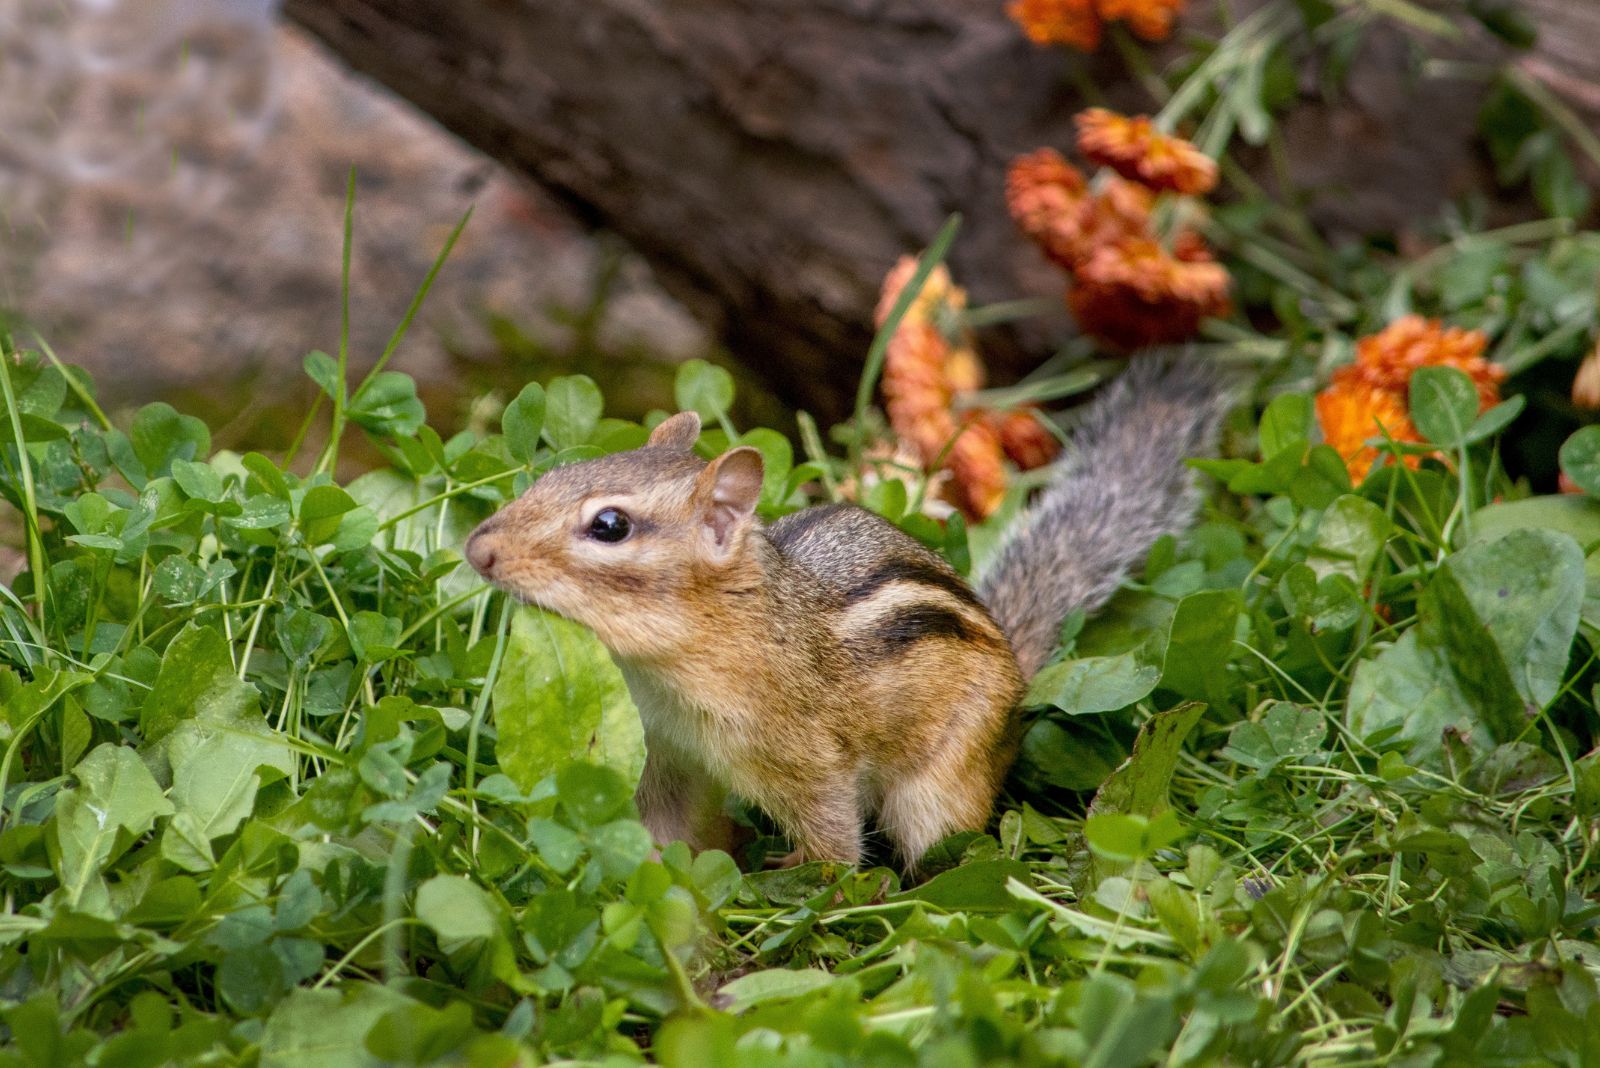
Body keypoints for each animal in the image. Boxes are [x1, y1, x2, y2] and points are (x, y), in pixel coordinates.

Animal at [465, 357, 1229, 870]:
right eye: (552, 476)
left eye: (610, 526)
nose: (478, 549)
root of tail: (1015, 661)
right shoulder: (667, 754)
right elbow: (662, 829)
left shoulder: (807, 762)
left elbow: (832, 845)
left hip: (941, 786)